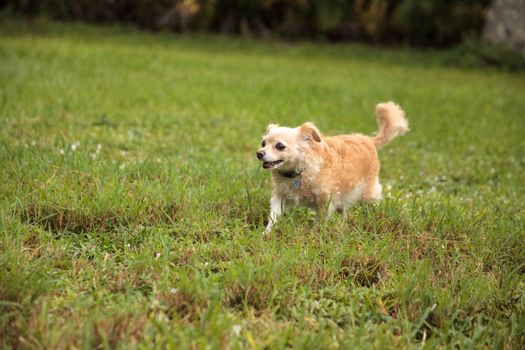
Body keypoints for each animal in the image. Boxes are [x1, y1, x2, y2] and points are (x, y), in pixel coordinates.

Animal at [256, 101, 408, 232]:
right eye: (263, 143)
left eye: (280, 146)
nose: (259, 153)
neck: (299, 172)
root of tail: (369, 140)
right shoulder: (281, 197)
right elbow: (274, 215)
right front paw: (267, 233)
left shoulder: (325, 202)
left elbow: (321, 221)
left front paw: (317, 236)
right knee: (344, 213)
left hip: (367, 194)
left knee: (373, 201)